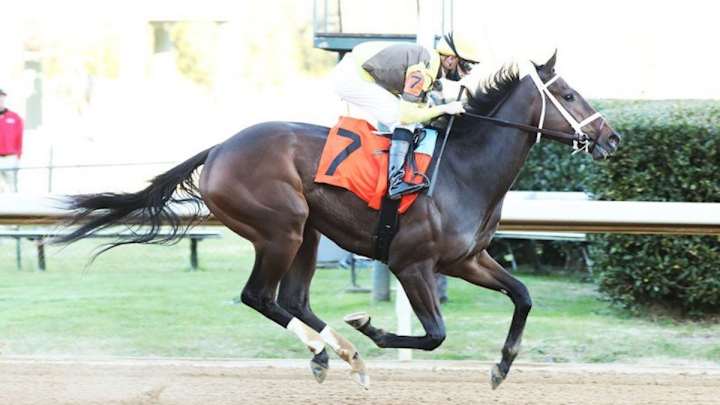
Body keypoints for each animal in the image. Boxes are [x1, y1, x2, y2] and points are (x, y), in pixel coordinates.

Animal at [56, 52, 621, 389]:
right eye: (568, 95)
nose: (611, 138)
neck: (463, 168)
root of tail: (218, 148)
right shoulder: (411, 263)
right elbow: (434, 334)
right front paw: (371, 326)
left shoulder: (467, 259)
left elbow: (522, 295)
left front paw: (502, 366)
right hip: (280, 228)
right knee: (259, 296)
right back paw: (334, 349)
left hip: (307, 231)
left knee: (292, 300)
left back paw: (340, 353)